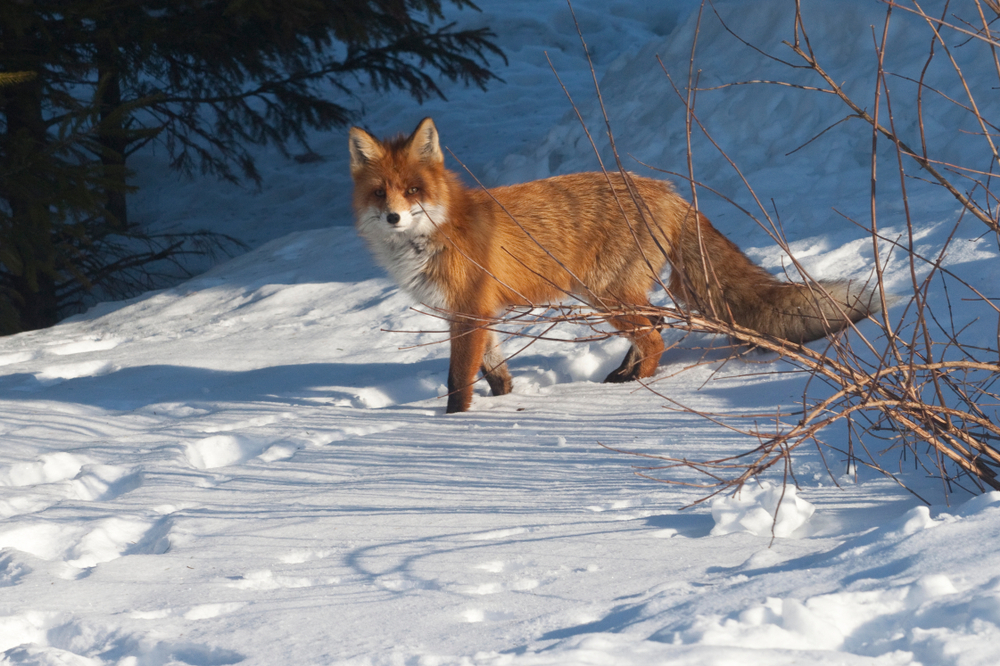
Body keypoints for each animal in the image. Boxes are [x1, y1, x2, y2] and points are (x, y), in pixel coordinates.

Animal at [352, 118, 876, 410]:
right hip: (617, 295)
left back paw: (638, 385)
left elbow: (458, 382)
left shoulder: (469, 314)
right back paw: (626, 374)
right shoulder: (475, 315)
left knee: (655, 334)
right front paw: (503, 403)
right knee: (657, 323)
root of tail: (671, 192)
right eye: (380, 193)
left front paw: (456, 425)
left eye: (413, 190)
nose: (394, 216)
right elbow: (496, 372)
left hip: (606, 295)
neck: (437, 232)